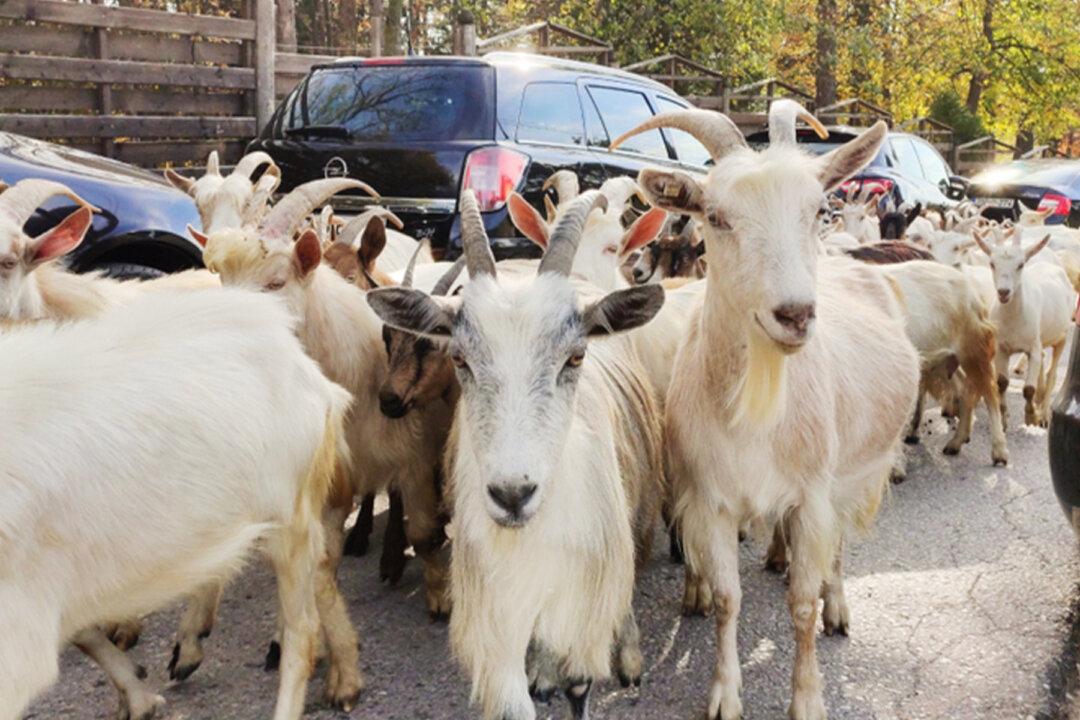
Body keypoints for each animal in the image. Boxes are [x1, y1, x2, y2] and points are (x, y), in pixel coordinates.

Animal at [367, 189, 665, 720]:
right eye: (458, 358)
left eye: (576, 356)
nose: (512, 494)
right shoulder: (495, 617)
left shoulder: (584, 598)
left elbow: (580, 685)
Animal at [616, 109, 919, 720]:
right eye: (715, 217)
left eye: (818, 210)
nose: (796, 314)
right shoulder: (712, 500)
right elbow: (727, 601)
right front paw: (725, 694)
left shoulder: (811, 496)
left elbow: (801, 606)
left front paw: (807, 699)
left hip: (848, 476)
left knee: (837, 551)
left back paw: (837, 606)